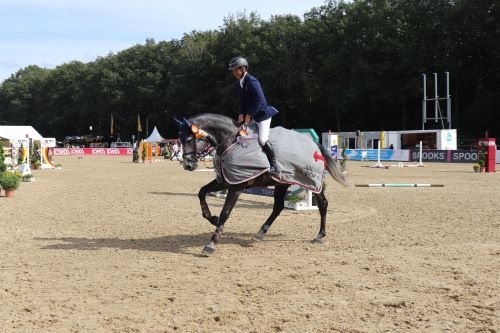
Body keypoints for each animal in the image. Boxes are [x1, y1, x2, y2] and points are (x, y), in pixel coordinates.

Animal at [177, 113, 348, 255]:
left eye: (189, 140)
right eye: (180, 140)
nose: (187, 165)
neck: (230, 142)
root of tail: (315, 145)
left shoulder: (237, 186)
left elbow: (225, 212)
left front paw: (211, 244)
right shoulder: (226, 181)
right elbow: (202, 192)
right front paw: (213, 218)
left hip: (311, 182)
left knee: (322, 204)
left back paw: (320, 235)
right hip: (282, 182)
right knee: (278, 207)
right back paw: (261, 232)